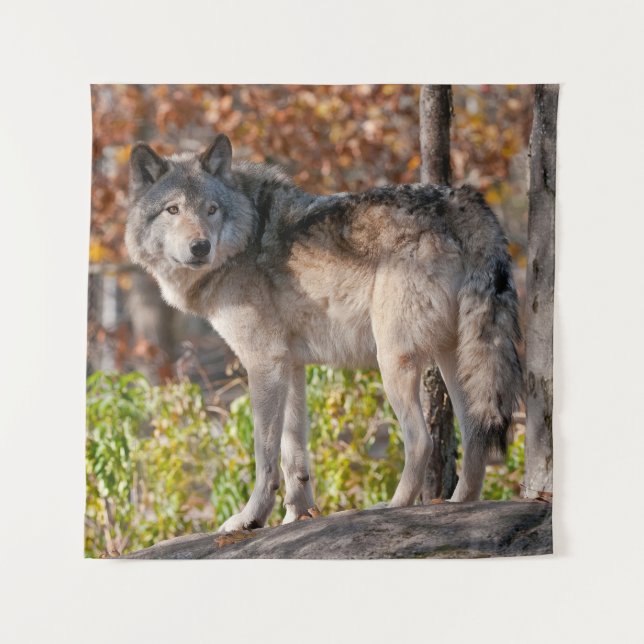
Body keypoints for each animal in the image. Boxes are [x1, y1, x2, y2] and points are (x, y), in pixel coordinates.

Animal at [126, 134, 522, 532]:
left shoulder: (264, 362)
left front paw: (250, 518)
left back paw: (394, 506)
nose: (200, 247)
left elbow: (264, 454)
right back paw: (460, 503)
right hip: (455, 359)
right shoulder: (291, 365)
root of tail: (463, 201)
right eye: (173, 210)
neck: (246, 237)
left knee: (421, 440)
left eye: (211, 210)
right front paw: (296, 516)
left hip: (393, 359)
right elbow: (293, 453)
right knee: (475, 434)